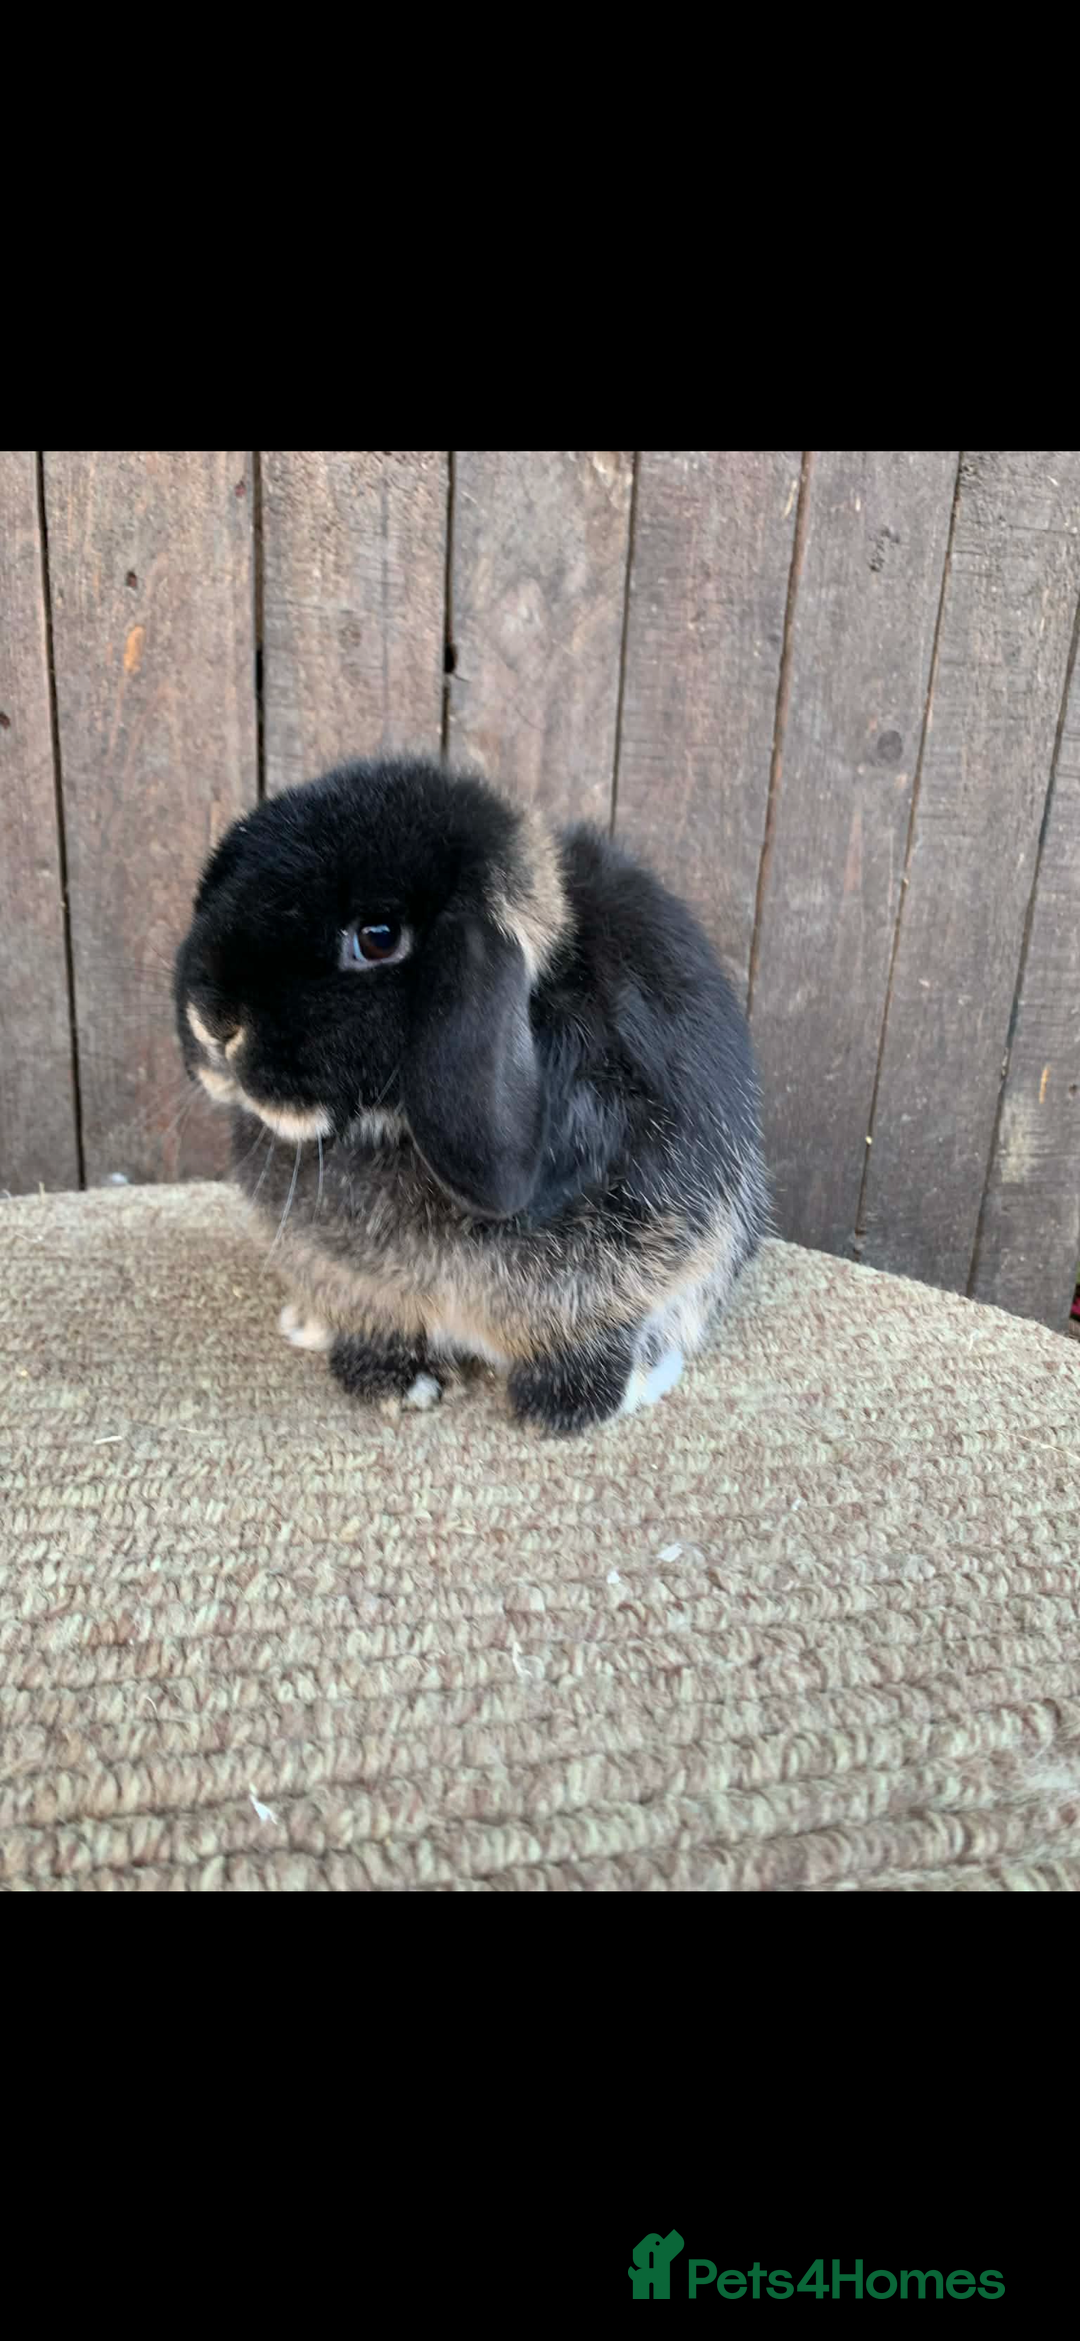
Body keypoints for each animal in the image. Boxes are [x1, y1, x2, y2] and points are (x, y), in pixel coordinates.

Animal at [175, 755, 768, 1435]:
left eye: (378, 937)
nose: (211, 1021)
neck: (390, 1128)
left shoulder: (634, 1263)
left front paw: (561, 1408)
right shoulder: (348, 1277)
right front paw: (392, 1381)